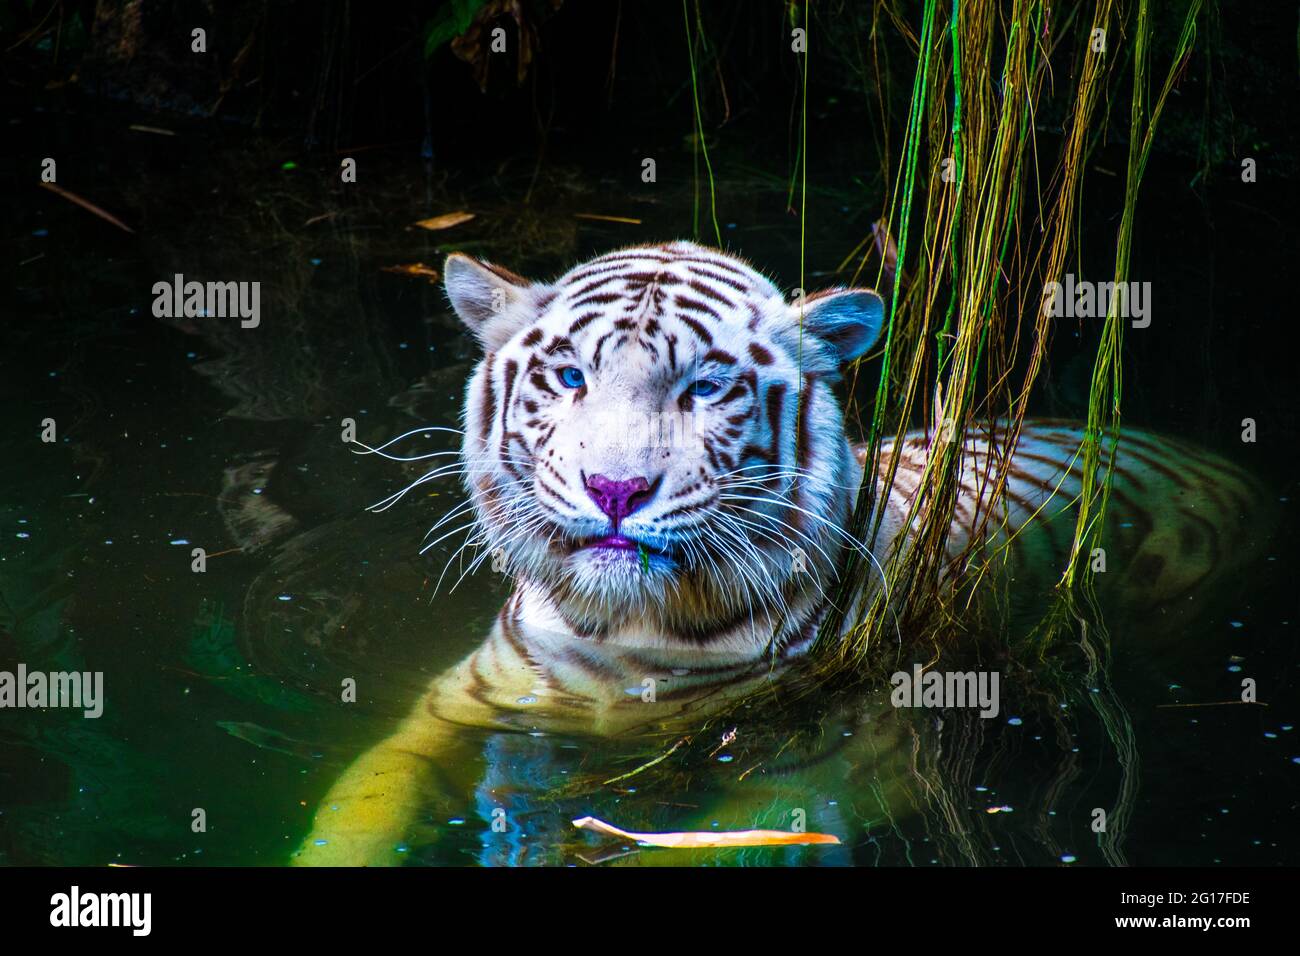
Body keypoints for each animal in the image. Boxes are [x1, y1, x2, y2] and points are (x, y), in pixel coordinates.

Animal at [295, 240, 1268, 868]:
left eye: (703, 388)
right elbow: (356, 803)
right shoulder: (456, 709)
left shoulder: (837, 761)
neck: (626, 633)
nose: (614, 488)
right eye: (569, 377)